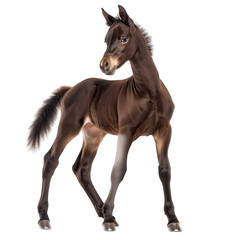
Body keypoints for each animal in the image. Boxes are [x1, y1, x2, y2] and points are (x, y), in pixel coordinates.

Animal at [28, 4, 181, 232]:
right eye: (106, 40)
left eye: (124, 39)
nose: (105, 65)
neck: (149, 93)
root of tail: (70, 89)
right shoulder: (126, 132)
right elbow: (118, 169)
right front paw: (108, 217)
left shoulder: (164, 131)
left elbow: (165, 170)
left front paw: (172, 219)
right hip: (69, 126)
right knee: (51, 159)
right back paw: (45, 216)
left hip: (94, 133)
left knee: (81, 168)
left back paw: (101, 210)